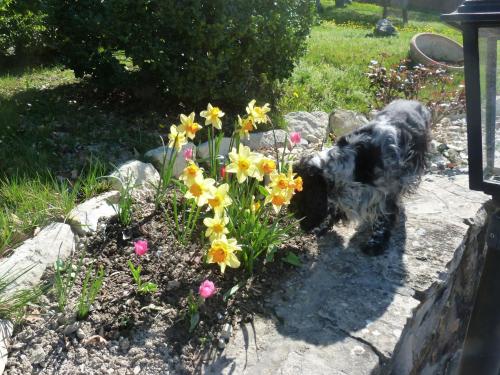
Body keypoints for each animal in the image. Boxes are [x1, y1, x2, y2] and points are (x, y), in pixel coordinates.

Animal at [292, 100, 432, 258]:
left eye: (300, 201)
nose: (302, 227)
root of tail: (414, 101)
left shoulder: (386, 191)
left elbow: (382, 219)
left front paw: (375, 243)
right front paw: (324, 225)